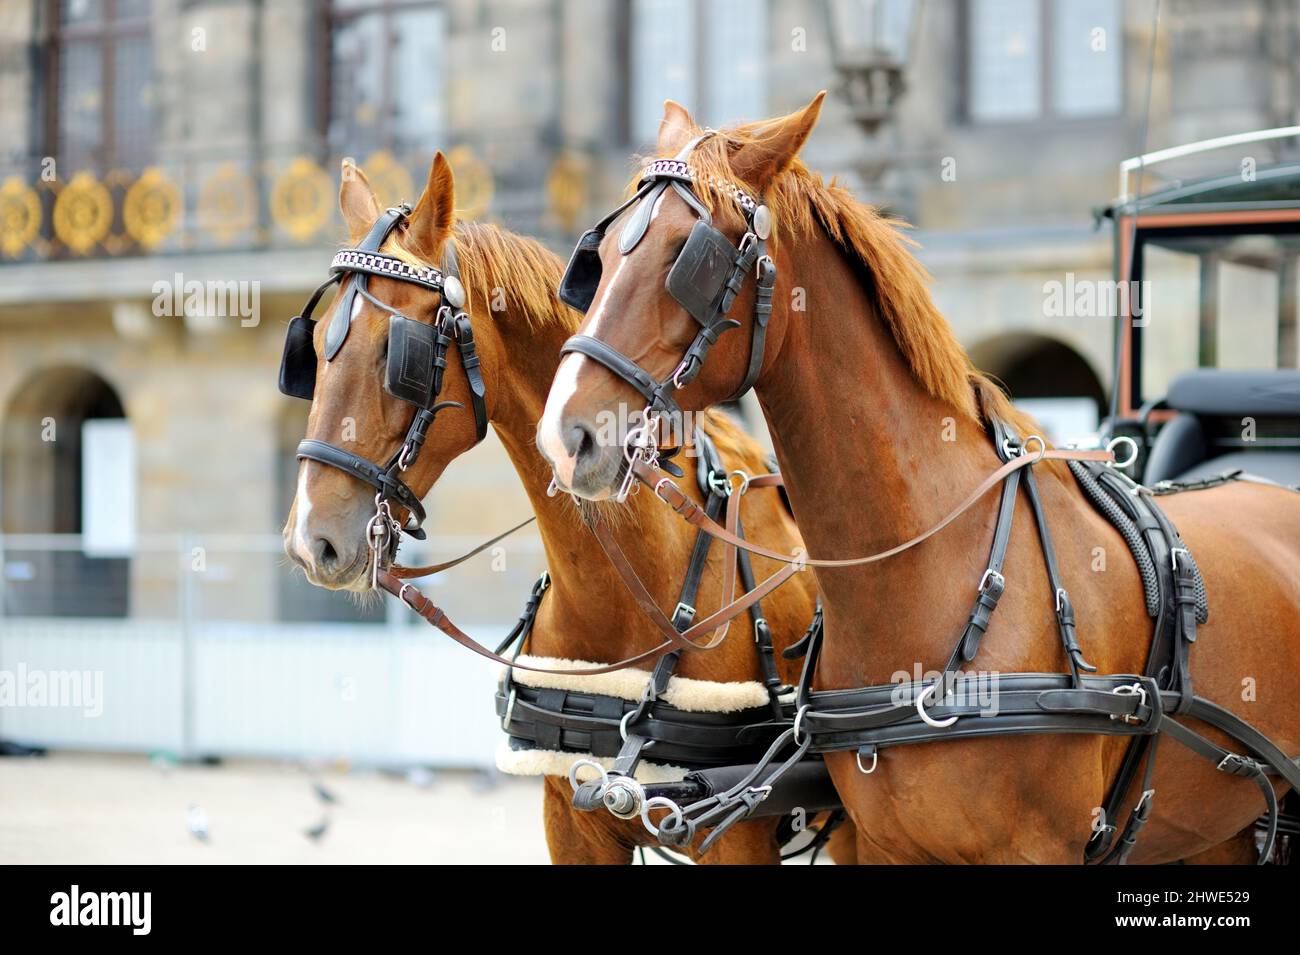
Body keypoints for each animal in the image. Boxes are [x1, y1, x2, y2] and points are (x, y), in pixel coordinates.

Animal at [283, 158, 847, 867]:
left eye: (396, 353)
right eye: (311, 351)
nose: (311, 541)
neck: (628, 595)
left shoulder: (734, 830)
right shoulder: (569, 816)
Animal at [540, 97, 1300, 867]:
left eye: (686, 257)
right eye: (599, 257)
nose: (568, 436)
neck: (925, 569)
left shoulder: (1039, 848)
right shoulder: (883, 843)